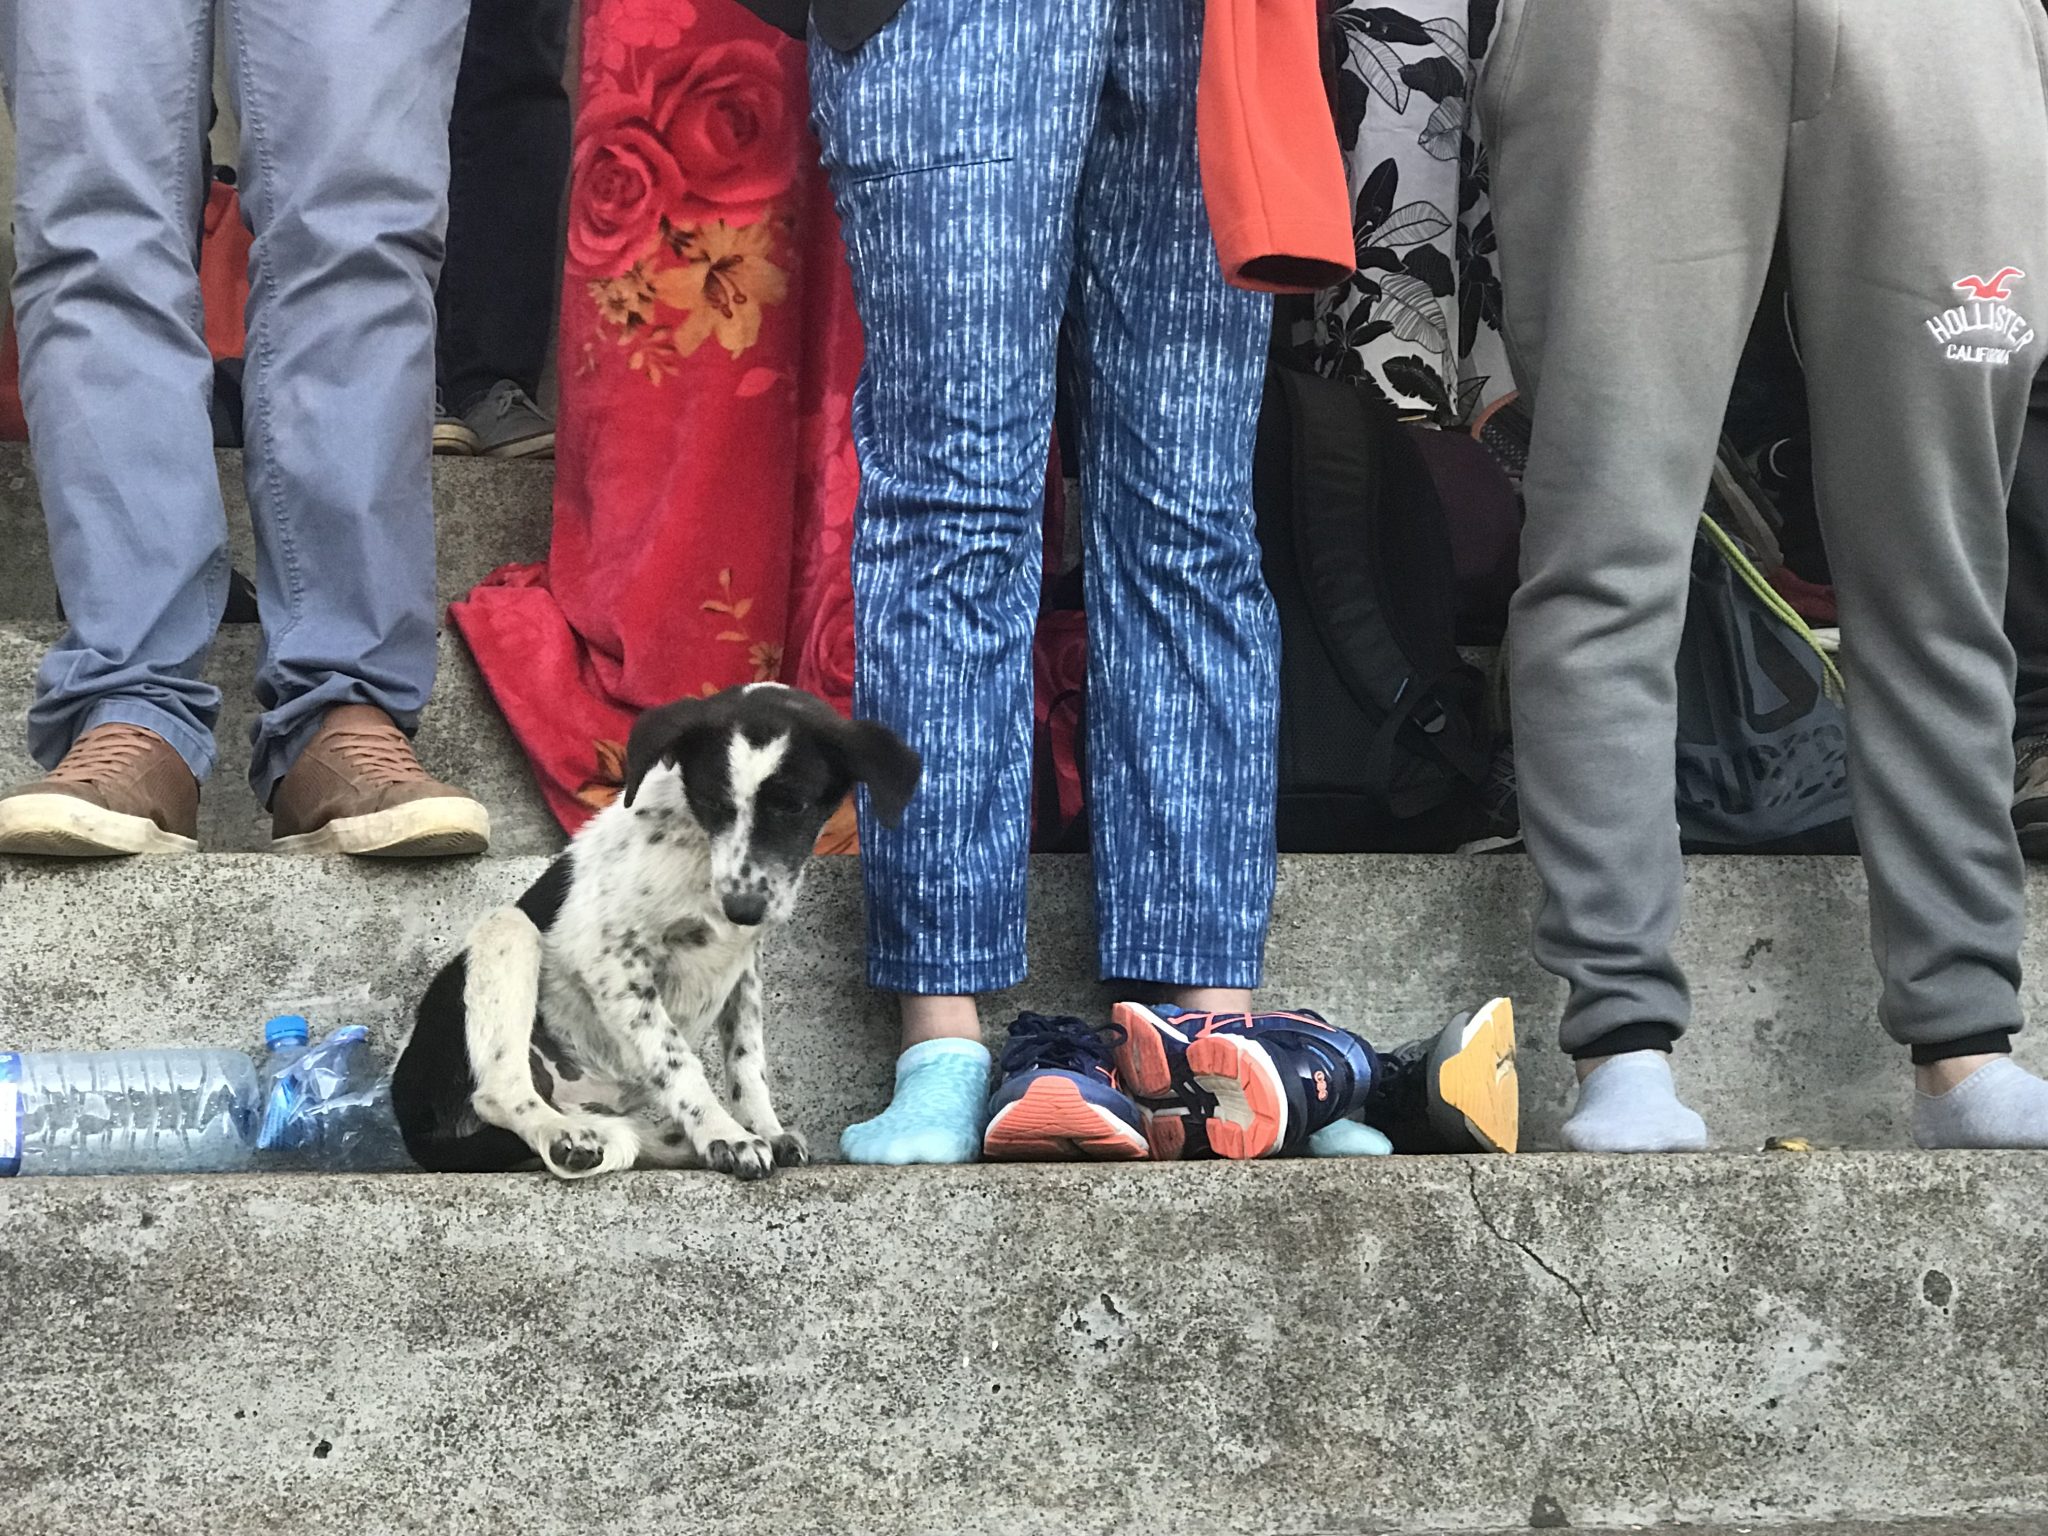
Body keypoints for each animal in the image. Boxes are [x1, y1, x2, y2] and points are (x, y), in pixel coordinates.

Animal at [391, 692, 921, 1187]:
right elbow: (678, 1061)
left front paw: (761, 1129)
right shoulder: (613, 962)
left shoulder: (743, 970)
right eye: (712, 805)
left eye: (794, 806)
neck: (698, 858)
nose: (744, 910)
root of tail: (411, 1121)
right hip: (508, 929)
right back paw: (563, 1132)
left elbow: (747, 1061)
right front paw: (725, 1135)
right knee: (500, 1091)